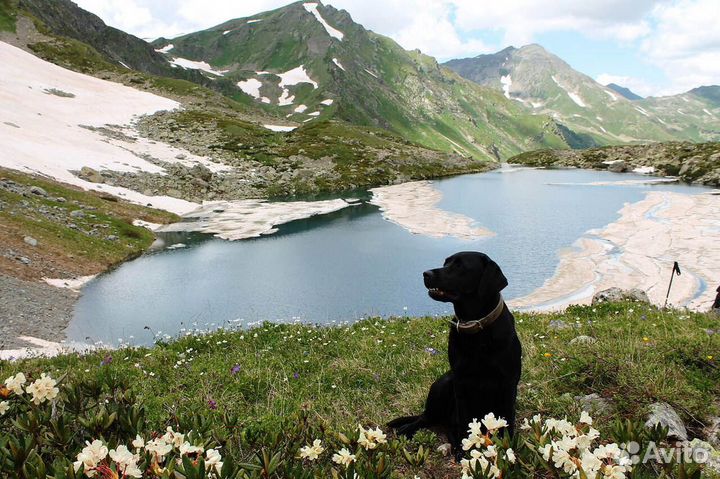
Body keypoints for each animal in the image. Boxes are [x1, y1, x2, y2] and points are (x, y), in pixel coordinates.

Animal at [388, 251, 524, 454]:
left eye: (460, 266)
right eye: (445, 263)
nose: (426, 273)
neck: (477, 331)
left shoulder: (508, 384)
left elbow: (507, 421)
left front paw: (507, 448)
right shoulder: (460, 382)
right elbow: (464, 422)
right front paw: (464, 450)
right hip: (443, 383)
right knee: (425, 418)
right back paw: (408, 429)